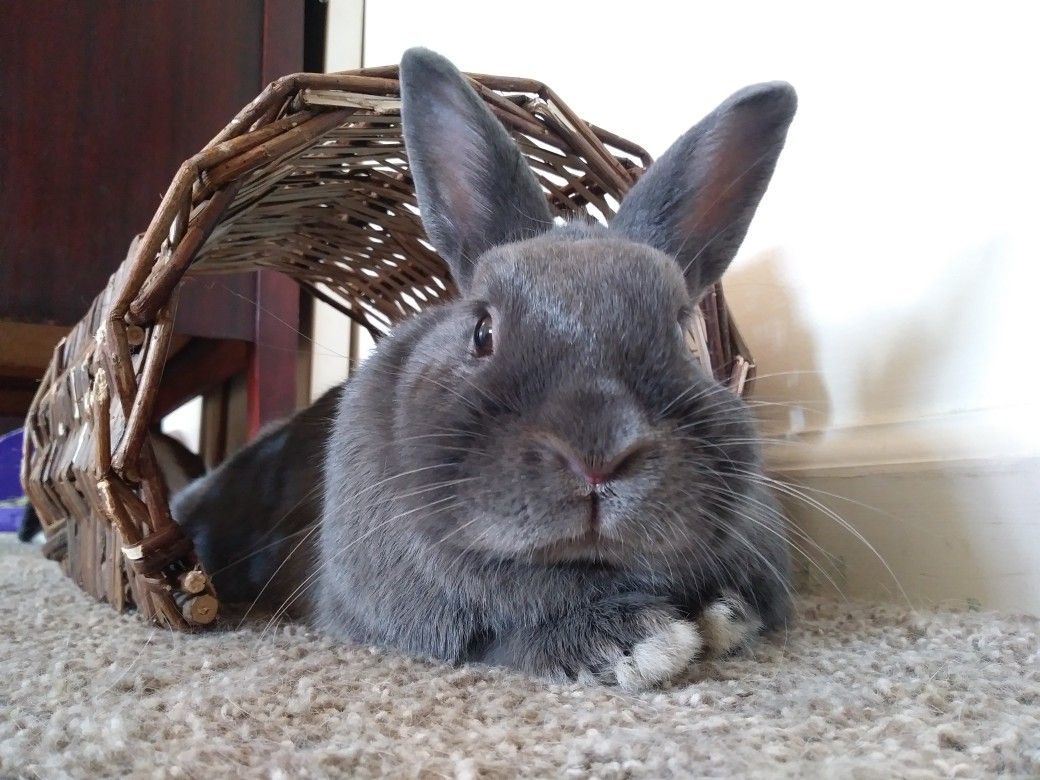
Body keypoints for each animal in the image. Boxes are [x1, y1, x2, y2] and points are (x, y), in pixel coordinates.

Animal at [309, 48, 798, 691]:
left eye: (682, 335)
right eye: (482, 331)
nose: (597, 457)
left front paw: (721, 617)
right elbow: (500, 640)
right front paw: (642, 643)